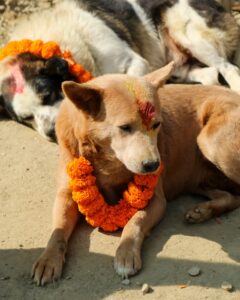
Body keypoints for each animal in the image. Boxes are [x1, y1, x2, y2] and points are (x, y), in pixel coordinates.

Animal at [31, 62, 240, 284]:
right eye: (124, 127)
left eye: (157, 124)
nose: (154, 165)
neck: (108, 161)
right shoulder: (65, 195)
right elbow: (58, 231)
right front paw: (48, 259)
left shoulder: (156, 199)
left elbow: (135, 222)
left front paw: (126, 253)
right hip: (198, 175)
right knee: (232, 196)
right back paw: (203, 211)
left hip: (209, 142)